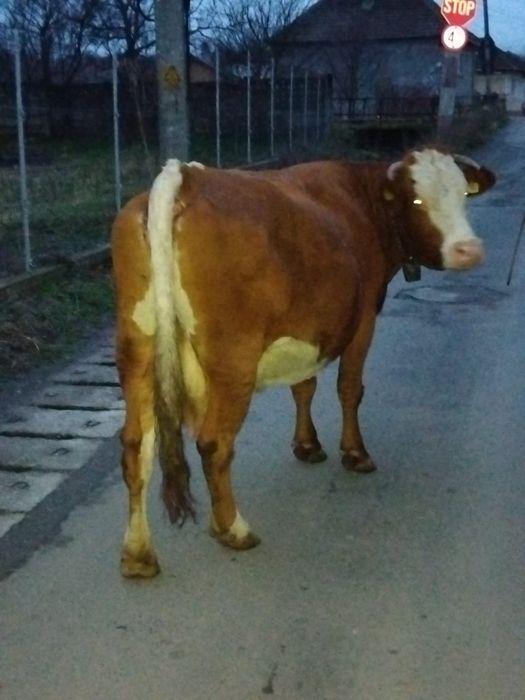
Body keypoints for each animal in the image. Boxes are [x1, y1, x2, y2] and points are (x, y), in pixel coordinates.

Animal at [111, 148, 495, 577]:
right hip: (233, 359)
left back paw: (138, 553)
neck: (361, 199)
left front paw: (307, 444)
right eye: (416, 200)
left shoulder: (306, 325)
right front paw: (355, 453)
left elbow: (304, 385)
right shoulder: (364, 316)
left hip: (137, 349)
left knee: (136, 445)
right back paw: (233, 529)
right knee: (214, 444)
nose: (468, 249)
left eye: (463, 193)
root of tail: (187, 178)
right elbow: (349, 387)